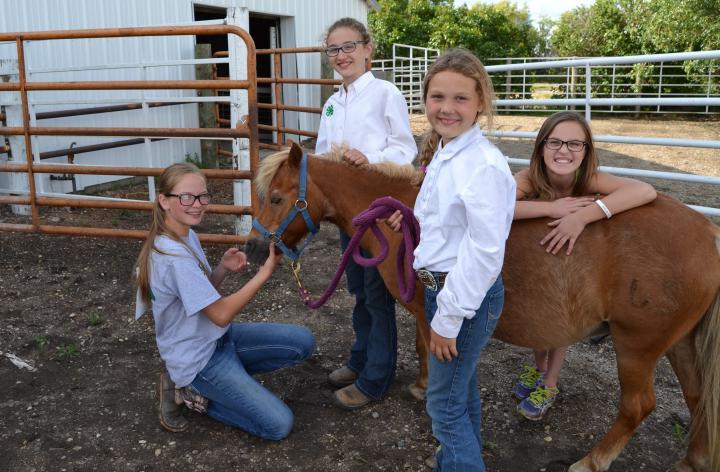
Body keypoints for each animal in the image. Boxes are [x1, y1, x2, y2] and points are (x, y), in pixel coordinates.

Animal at [246, 144, 720, 472]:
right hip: (679, 344)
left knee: (638, 406)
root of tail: (708, 232)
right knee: (698, 399)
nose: (253, 250)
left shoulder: (430, 309)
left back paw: (592, 461)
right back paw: (692, 461)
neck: (407, 217)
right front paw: (421, 386)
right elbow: (423, 348)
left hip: (638, 346)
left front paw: (425, 392)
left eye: (276, 197)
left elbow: (428, 350)